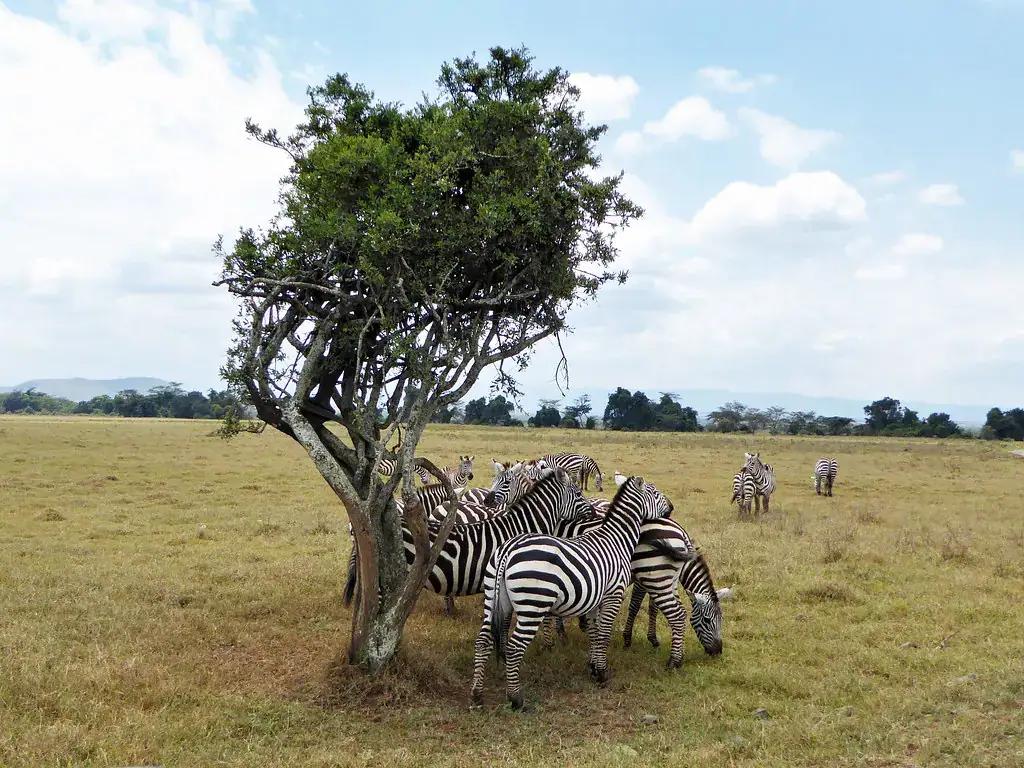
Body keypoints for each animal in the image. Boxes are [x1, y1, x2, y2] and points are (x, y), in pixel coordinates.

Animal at [470, 475, 674, 709]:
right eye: (655, 493)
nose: (671, 508)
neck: (617, 539)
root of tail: (507, 550)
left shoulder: (596, 599)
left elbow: (594, 634)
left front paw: (594, 668)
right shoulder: (613, 594)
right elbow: (604, 634)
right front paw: (602, 674)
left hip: (493, 599)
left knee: (483, 641)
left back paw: (477, 695)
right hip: (532, 605)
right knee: (514, 647)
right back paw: (516, 698)